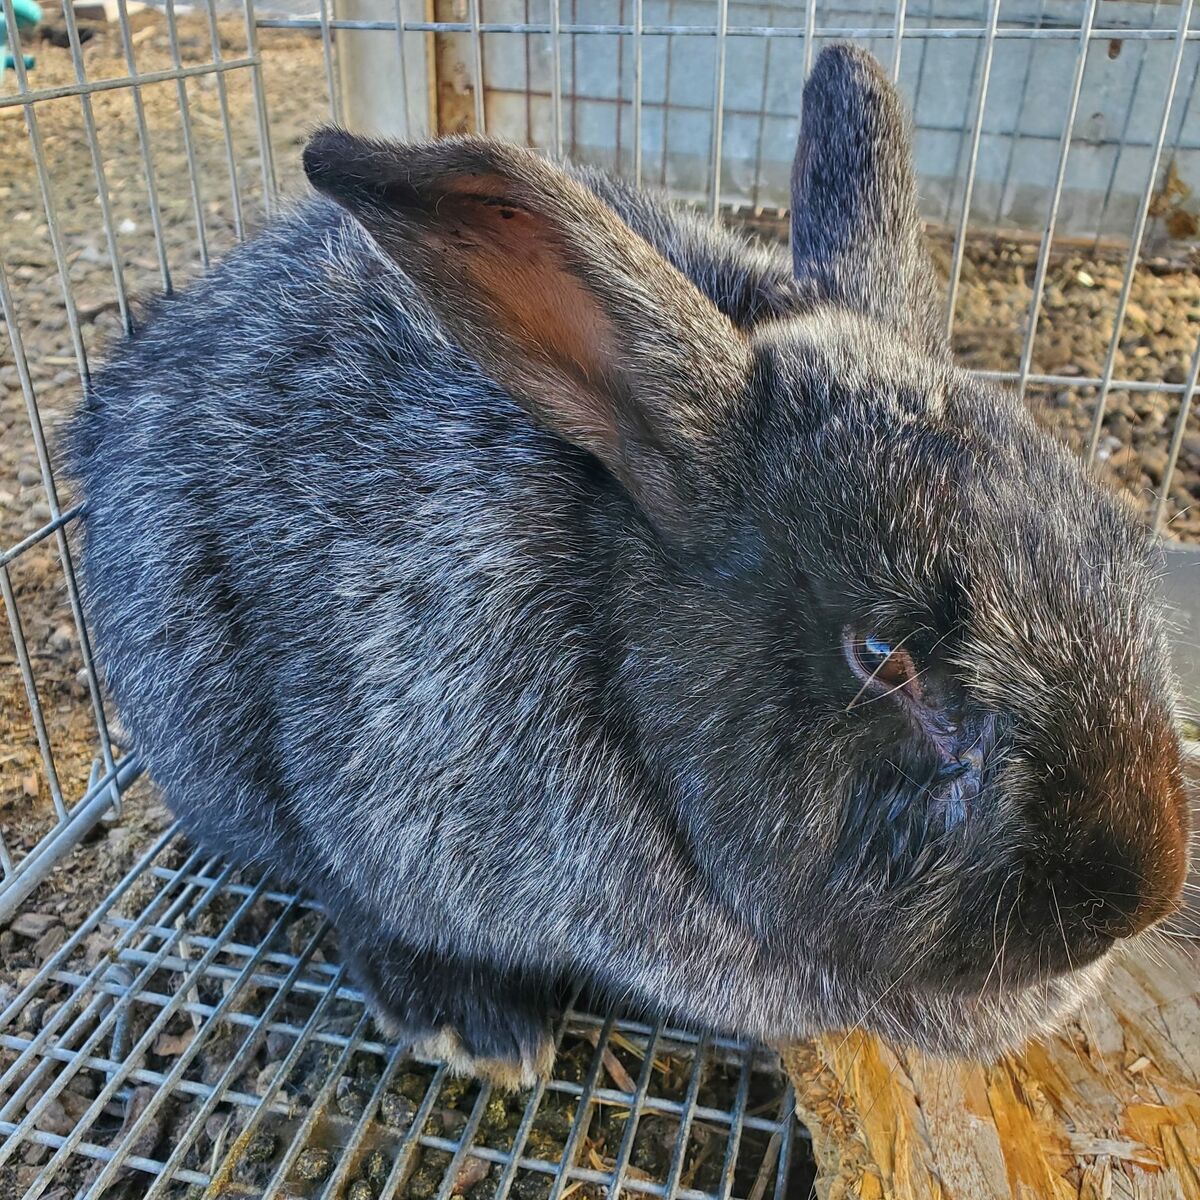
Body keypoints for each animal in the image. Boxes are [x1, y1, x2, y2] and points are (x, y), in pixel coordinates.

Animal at [68, 44, 1189, 1089]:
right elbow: (359, 893)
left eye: (1112, 534)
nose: (1141, 892)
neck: (611, 642)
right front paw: (472, 1027)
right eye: (881, 654)